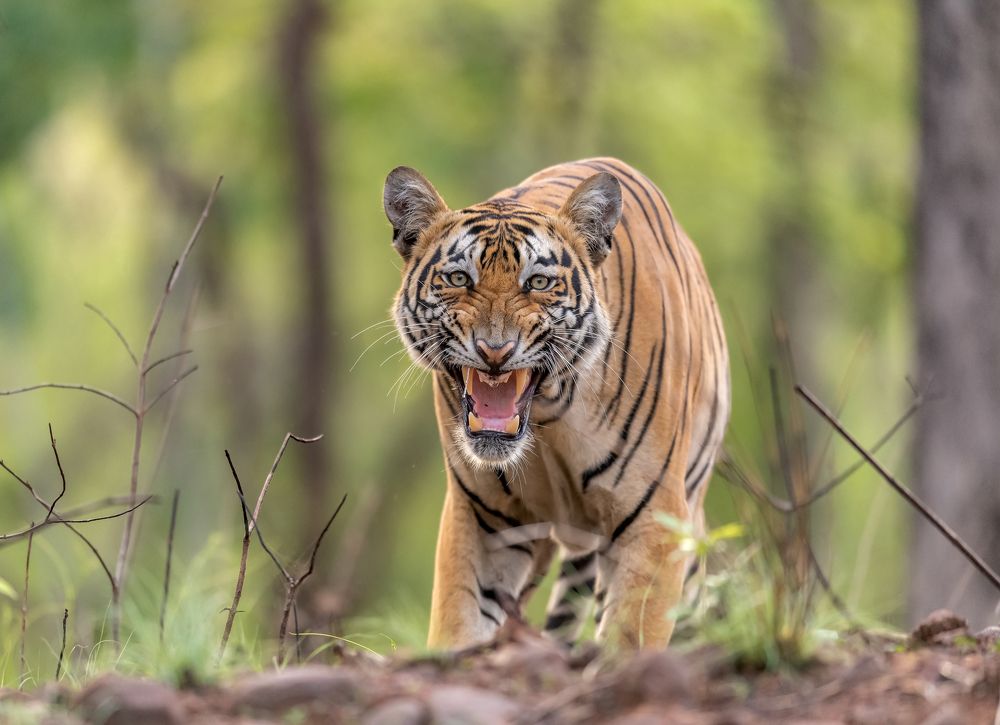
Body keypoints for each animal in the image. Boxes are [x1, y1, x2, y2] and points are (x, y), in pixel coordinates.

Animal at [383, 157, 730, 649]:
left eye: (539, 283)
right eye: (458, 278)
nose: (494, 350)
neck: (549, 416)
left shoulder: (654, 520)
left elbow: (629, 641)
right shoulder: (482, 519)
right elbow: (459, 625)